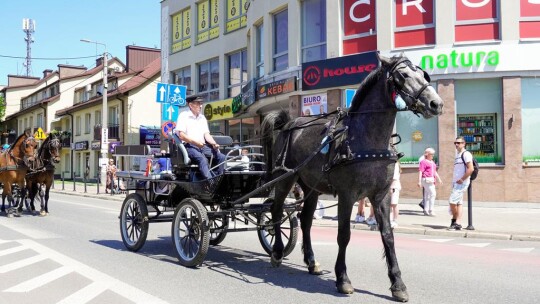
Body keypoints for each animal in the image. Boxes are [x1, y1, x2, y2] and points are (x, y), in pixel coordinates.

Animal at [260, 52, 442, 302]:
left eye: (423, 75)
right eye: (403, 75)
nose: (436, 103)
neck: (366, 138)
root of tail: (288, 123)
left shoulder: (382, 195)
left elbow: (388, 235)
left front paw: (397, 284)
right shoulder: (347, 195)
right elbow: (343, 235)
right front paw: (343, 279)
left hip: (311, 187)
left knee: (305, 220)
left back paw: (311, 261)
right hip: (284, 178)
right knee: (277, 211)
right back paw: (277, 251)